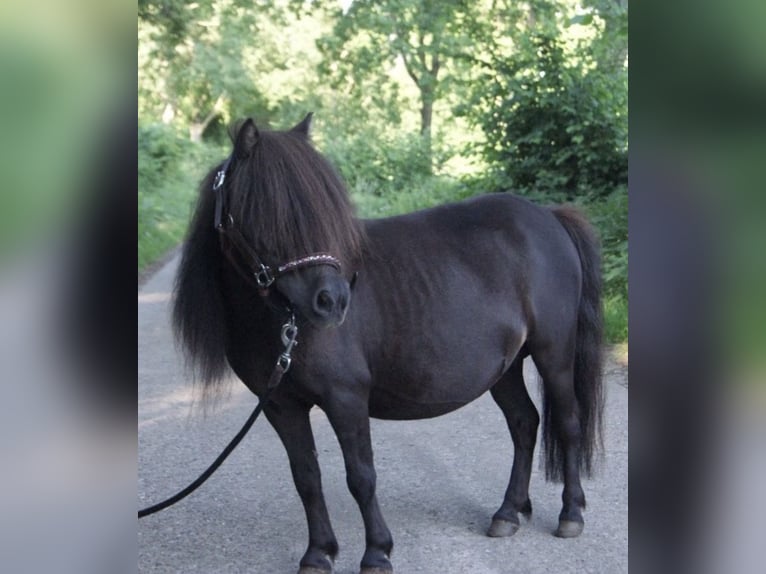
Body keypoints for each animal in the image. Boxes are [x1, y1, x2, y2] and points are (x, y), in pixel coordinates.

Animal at [172, 113, 604, 574]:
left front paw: (377, 551)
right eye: (263, 211)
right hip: (504, 367)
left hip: (553, 354)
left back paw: (570, 513)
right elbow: (306, 477)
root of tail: (548, 216)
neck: (280, 320)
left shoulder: (345, 398)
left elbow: (361, 476)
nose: (333, 300)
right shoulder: (281, 406)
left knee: (568, 422)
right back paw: (508, 511)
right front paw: (318, 553)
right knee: (524, 423)